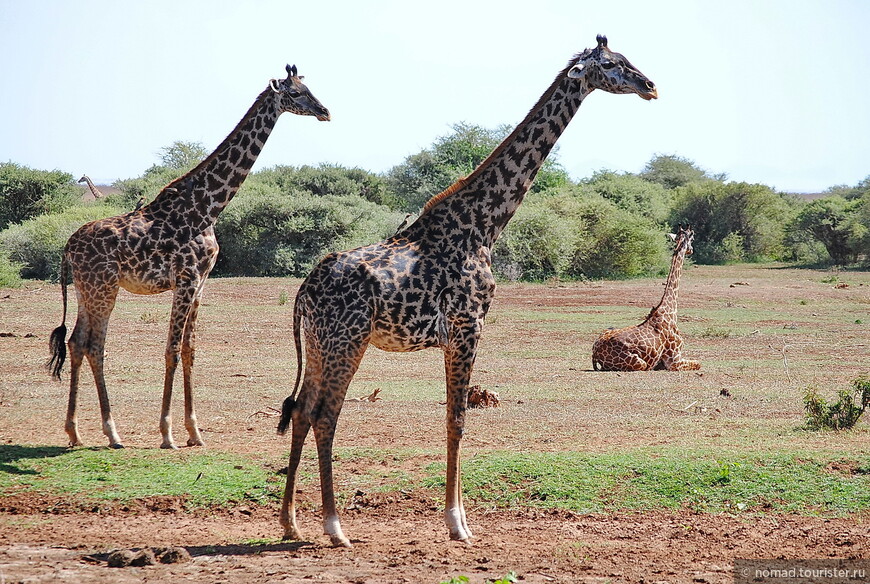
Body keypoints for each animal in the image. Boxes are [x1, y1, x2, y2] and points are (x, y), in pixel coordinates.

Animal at [49, 64, 332, 450]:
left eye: (307, 87)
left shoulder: (200, 283)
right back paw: (111, 432)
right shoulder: (185, 279)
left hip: (86, 289)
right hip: (102, 289)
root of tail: (67, 247)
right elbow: (171, 349)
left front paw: (194, 431)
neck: (207, 207)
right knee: (93, 345)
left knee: (77, 343)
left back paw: (76, 432)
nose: (325, 111)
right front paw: (167, 433)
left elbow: (189, 350)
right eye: (295, 93)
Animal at [276, 36, 656, 548]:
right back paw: (336, 529)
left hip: (319, 344)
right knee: (325, 416)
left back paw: (290, 522)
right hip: (347, 341)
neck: (484, 223)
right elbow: (457, 419)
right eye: (614, 65)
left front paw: (456, 519)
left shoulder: (454, 335)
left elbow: (451, 418)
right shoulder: (467, 326)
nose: (650, 85)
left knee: (300, 411)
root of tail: (304, 290)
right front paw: (459, 523)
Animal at [592, 226, 700, 372]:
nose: (691, 250)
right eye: (692, 238)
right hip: (641, 364)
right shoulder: (673, 361)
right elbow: (699, 363)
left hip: (608, 330)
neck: (670, 311)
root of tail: (595, 354)